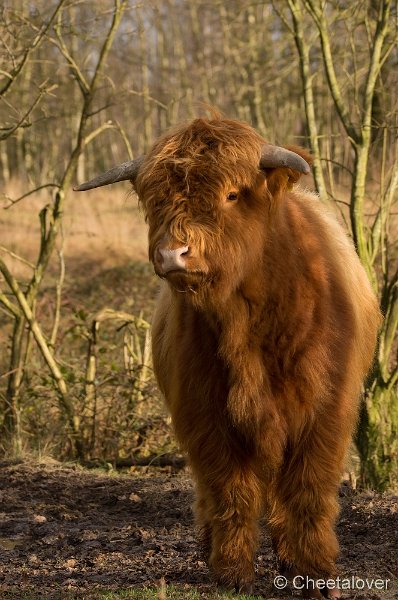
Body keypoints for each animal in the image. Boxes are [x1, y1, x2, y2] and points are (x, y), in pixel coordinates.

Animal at [76, 117, 380, 600]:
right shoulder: (204, 413)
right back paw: (210, 547)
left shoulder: (325, 410)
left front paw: (315, 572)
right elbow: (229, 489)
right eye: (155, 200)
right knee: (211, 491)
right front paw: (232, 572)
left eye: (233, 194)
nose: (172, 253)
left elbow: (309, 490)